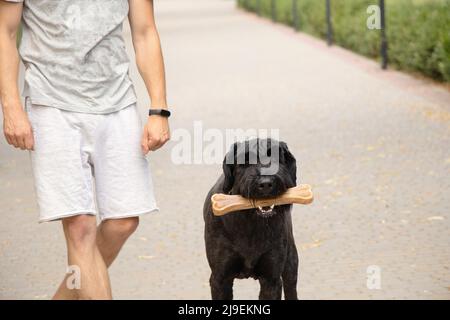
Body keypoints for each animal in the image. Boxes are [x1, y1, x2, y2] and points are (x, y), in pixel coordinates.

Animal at [204, 138, 298, 300]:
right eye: (246, 160)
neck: (250, 223)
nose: (266, 183)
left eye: (276, 157)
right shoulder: (220, 278)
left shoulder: (271, 279)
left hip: (291, 263)